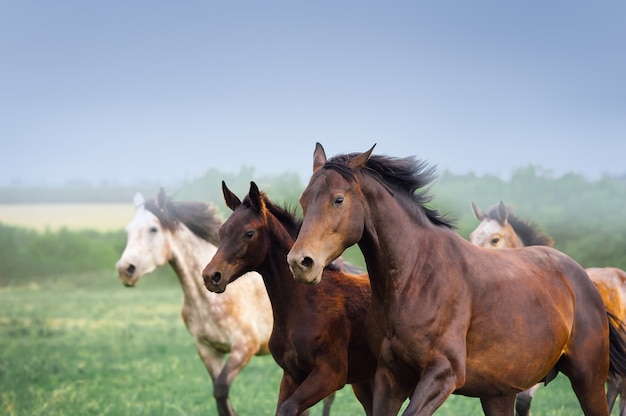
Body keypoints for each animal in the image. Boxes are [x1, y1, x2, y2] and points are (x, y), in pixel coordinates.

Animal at [116, 189, 272, 416]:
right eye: (128, 230)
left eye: (153, 229)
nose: (125, 269)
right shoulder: (208, 350)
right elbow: (220, 397)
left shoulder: (244, 347)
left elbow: (221, 390)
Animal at [201, 181, 376, 416]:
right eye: (221, 231)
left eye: (249, 233)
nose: (211, 276)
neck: (303, 304)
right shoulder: (291, 375)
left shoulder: (331, 374)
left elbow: (288, 408)